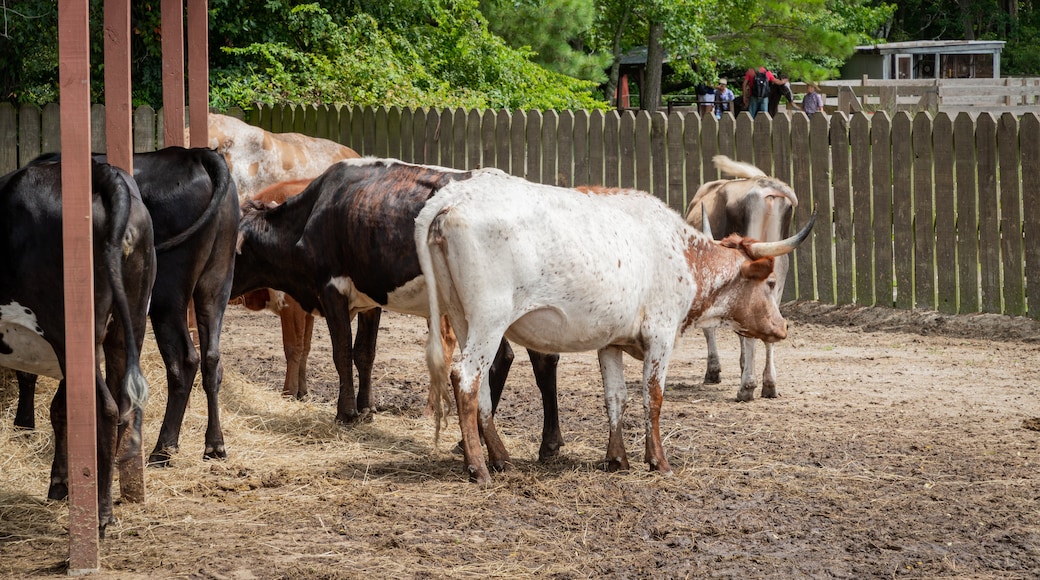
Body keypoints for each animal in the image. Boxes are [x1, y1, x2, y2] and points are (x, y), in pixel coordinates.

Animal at [0, 157, 156, 536]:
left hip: (69, 329)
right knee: (122, 406)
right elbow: (60, 408)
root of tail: (103, 172)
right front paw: (60, 484)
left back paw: (99, 515)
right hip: (127, 325)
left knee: (105, 409)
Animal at [12, 148, 239, 467]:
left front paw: (23, 425)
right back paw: (214, 445)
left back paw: (163, 449)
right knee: (211, 359)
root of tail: (195, 154)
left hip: (168, 294)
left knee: (184, 361)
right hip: (217, 279)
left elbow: (27, 368)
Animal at [232, 159, 565, 463]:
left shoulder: (332, 289)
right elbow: (364, 353)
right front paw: (366, 409)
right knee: (540, 360)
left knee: (501, 360)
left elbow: (341, 353)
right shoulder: (369, 298)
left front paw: (346, 413)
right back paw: (545, 444)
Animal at [413, 172, 811, 486]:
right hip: (489, 319)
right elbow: (653, 396)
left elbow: (615, 397)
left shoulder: (611, 342)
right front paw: (658, 461)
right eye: (770, 283)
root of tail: (451, 200)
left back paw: (499, 458)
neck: (684, 254)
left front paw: (617, 458)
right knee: (465, 378)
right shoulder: (661, 334)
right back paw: (478, 468)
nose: (782, 326)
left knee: (478, 387)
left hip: (463, 318)